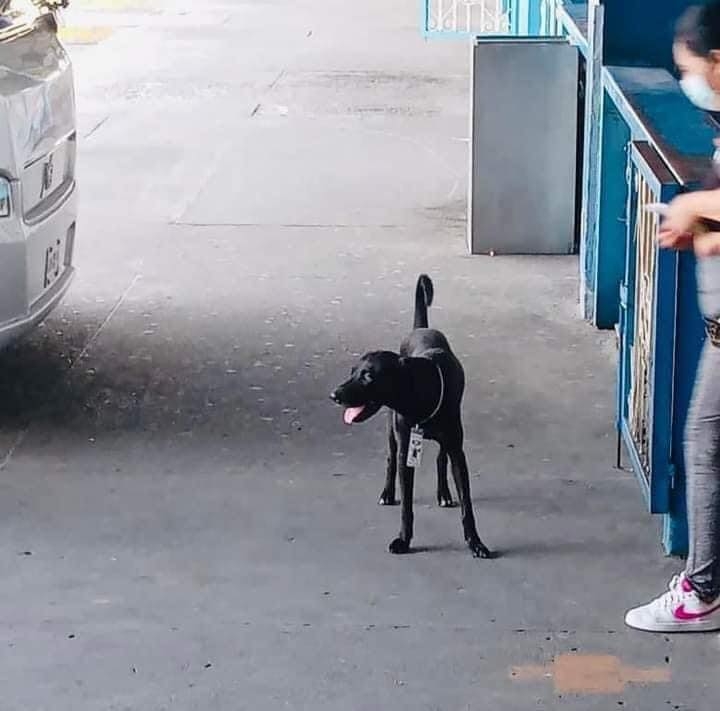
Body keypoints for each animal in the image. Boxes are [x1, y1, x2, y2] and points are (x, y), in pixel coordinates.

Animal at [330, 276, 492, 560]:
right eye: (352, 371)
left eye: (368, 375)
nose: (334, 395)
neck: (420, 393)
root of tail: (421, 328)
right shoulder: (406, 448)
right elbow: (406, 504)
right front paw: (403, 540)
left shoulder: (458, 452)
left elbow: (467, 505)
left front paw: (475, 542)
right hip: (391, 431)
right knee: (390, 459)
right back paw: (387, 492)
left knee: (440, 458)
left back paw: (444, 493)